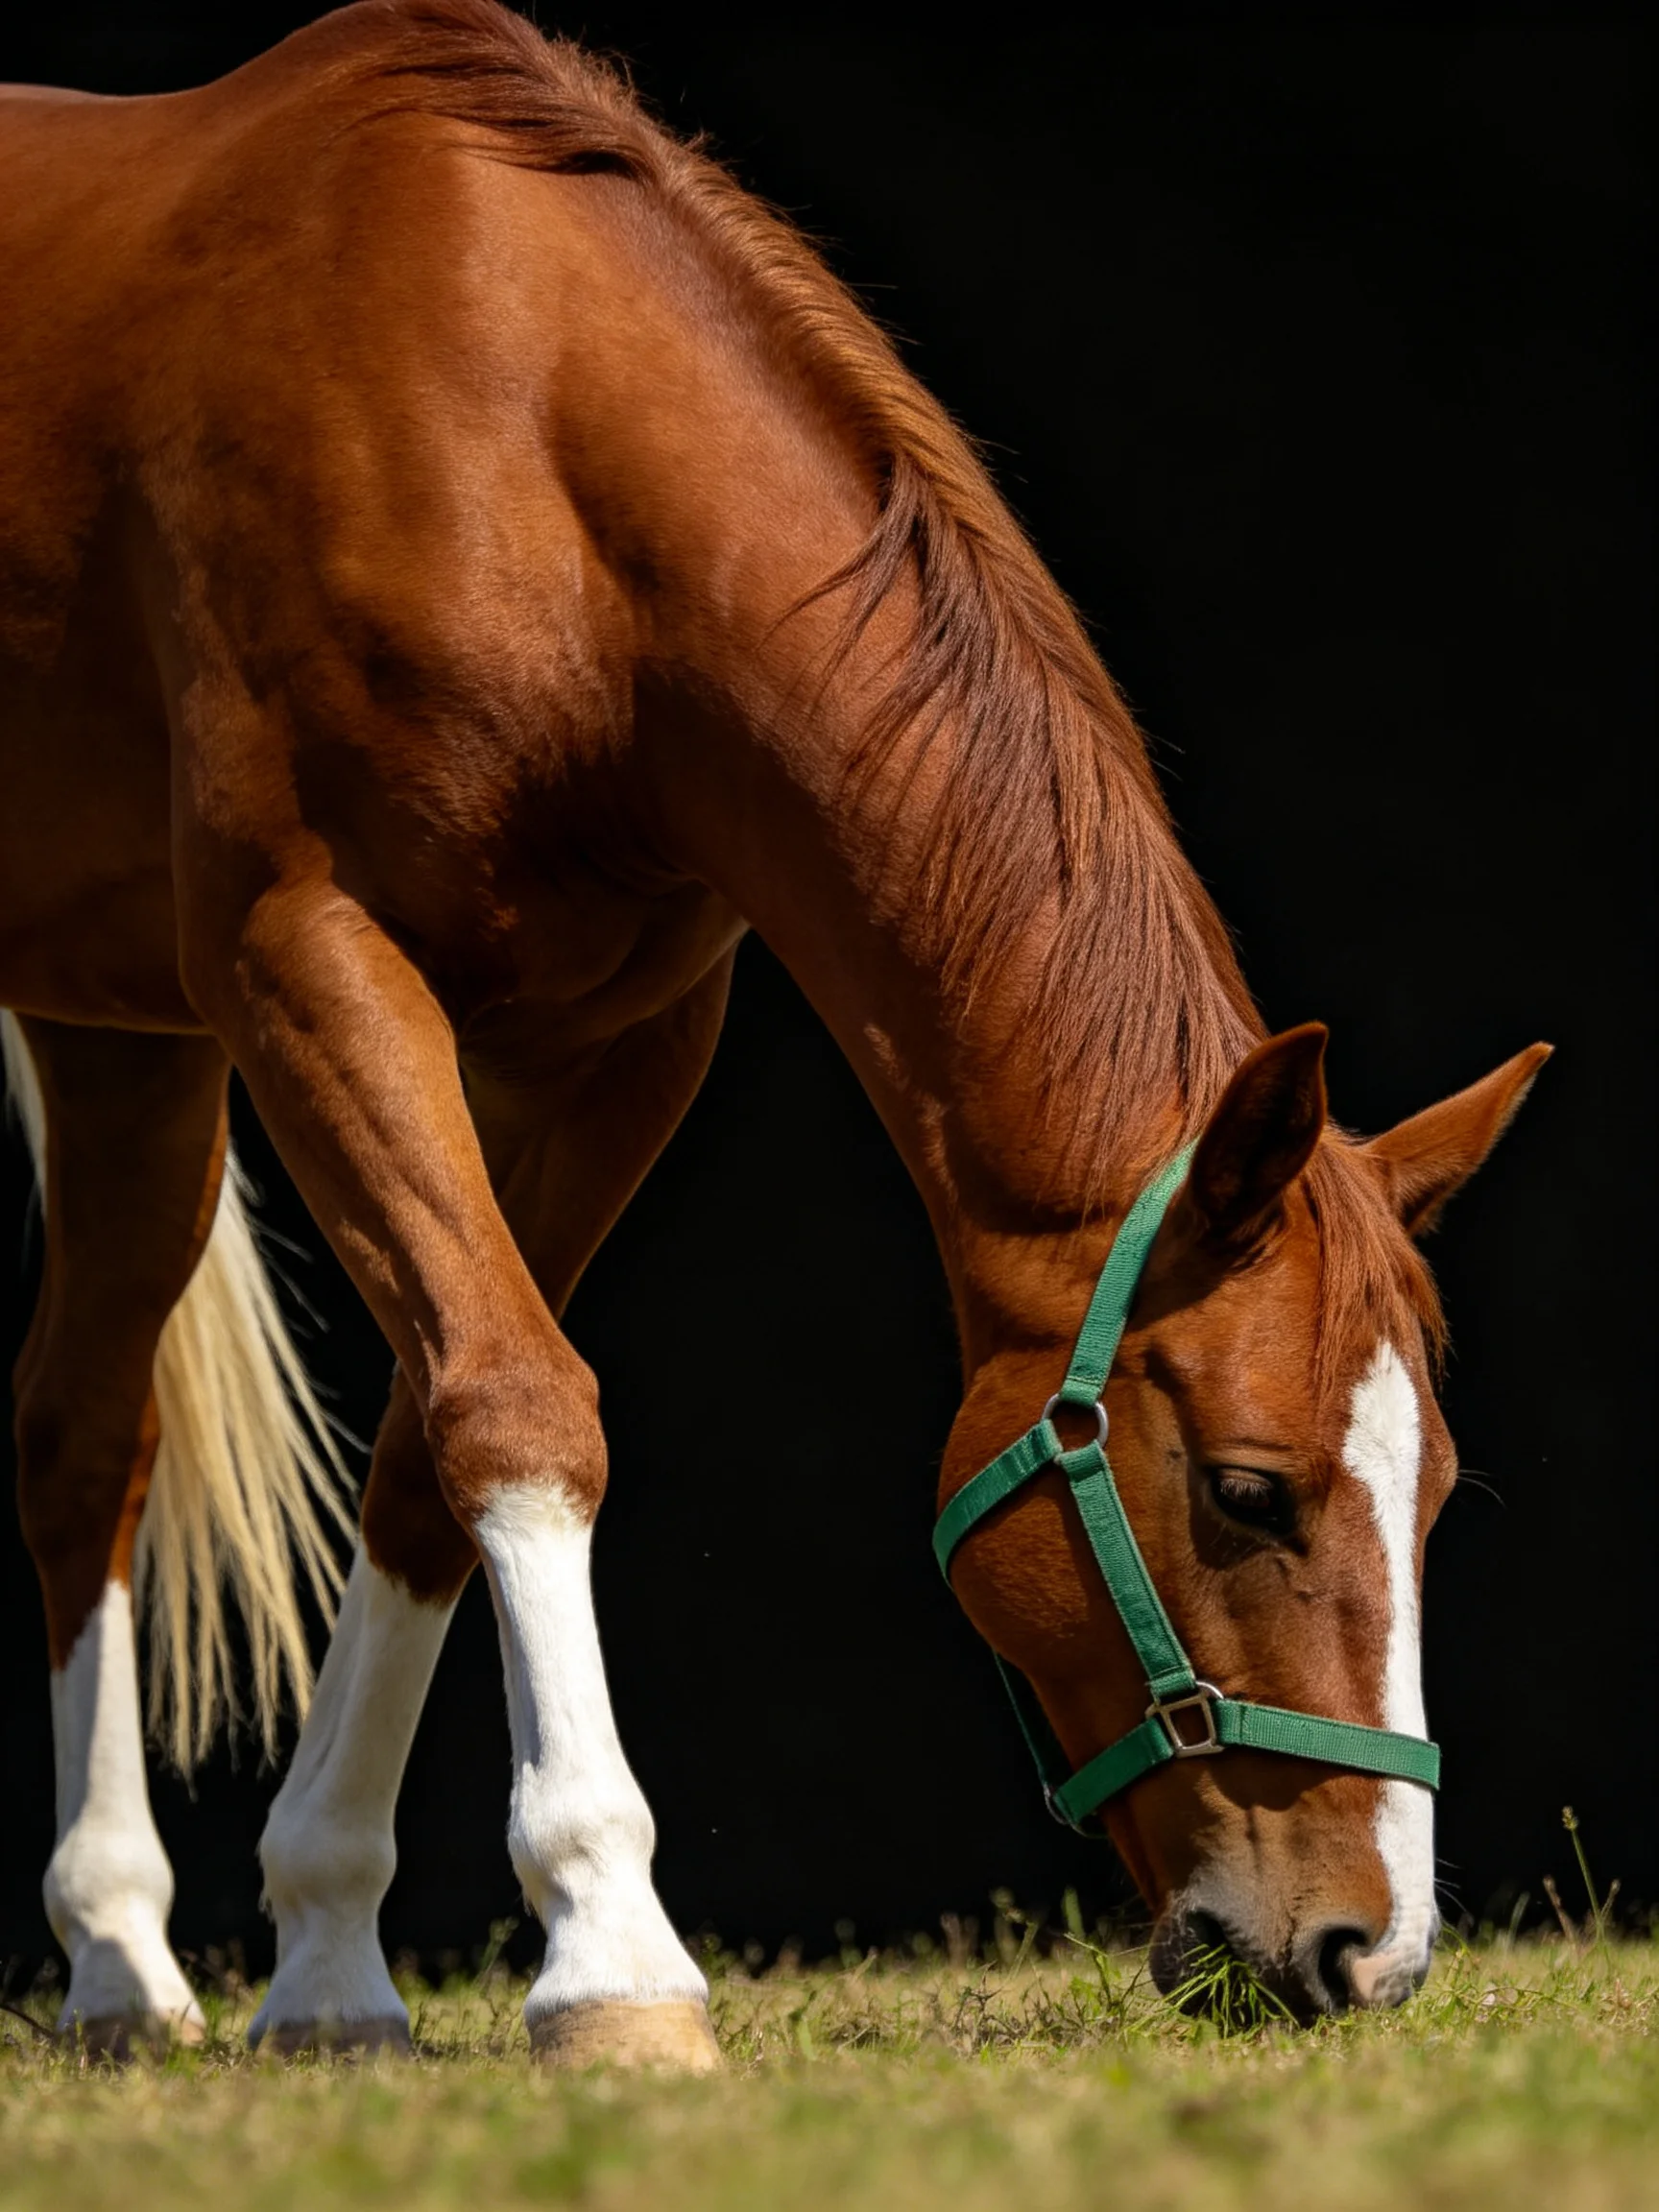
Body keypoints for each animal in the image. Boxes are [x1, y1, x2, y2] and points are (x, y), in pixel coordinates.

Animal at [0, 0, 1548, 2068]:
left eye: (1432, 1490)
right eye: (1247, 1490)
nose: (1368, 1947)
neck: (513, 416)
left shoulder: (613, 1041)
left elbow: (431, 1437)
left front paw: (328, 1959)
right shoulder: (307, 955)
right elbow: (514, 1399)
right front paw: (609, 1945)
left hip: (118, 1031)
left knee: (85, 1431)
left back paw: (119, 1954)